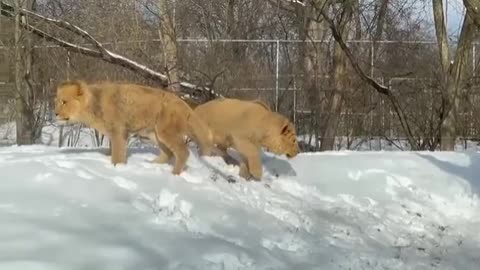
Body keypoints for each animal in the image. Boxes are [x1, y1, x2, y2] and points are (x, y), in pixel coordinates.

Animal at [54, 79, 214, 175]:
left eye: (64, 102)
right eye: (57, 101)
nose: (55, 113)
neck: (94, 104)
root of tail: (184, 104)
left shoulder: (119, 132)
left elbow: (118, 154)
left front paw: (116, 168)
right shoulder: (115, 134)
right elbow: (113, 151)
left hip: (165, 132)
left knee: (183, 152)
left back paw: (173, 174)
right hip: (154, 134)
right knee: (168, 153)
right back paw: (151, 165)